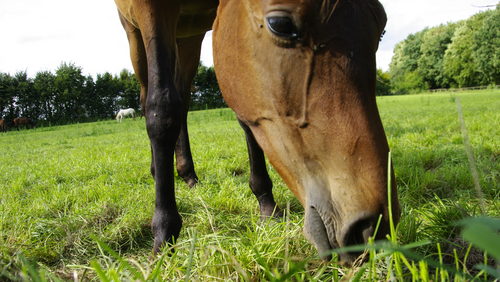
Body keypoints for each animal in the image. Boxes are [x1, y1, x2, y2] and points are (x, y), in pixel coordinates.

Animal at [115, 0, 400, 264]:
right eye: (280, 24)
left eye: (381, 29)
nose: (375, 228)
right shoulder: (151, 8)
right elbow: (160, 108)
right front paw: (164, 237)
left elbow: (246, 119)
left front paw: (267, 205)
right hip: (134, 31)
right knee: (149, 97)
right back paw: (158, 171)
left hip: (188, 38)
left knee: (183, 96)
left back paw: (188, 174)